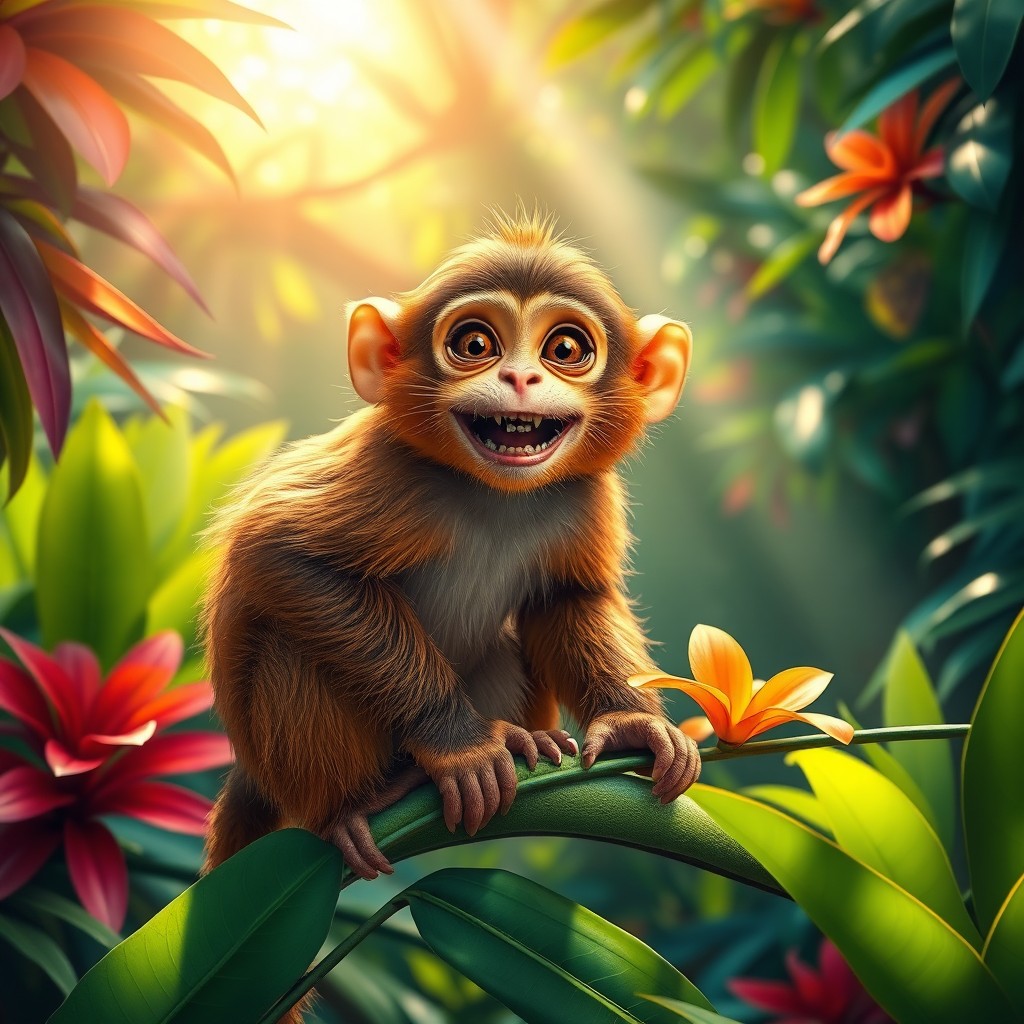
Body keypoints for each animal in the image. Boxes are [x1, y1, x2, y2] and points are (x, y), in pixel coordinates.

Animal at [201, 212, 701, 901]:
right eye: (474, 343)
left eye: (565, 350)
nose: (521, 378)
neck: (495, 496)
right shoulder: (389, 469)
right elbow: (281, 552)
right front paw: (460, 745)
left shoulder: (586, 494)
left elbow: (570, 599)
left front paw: (631, 722)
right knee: (288, 643)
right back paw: (362, 802)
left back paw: (528, 735)